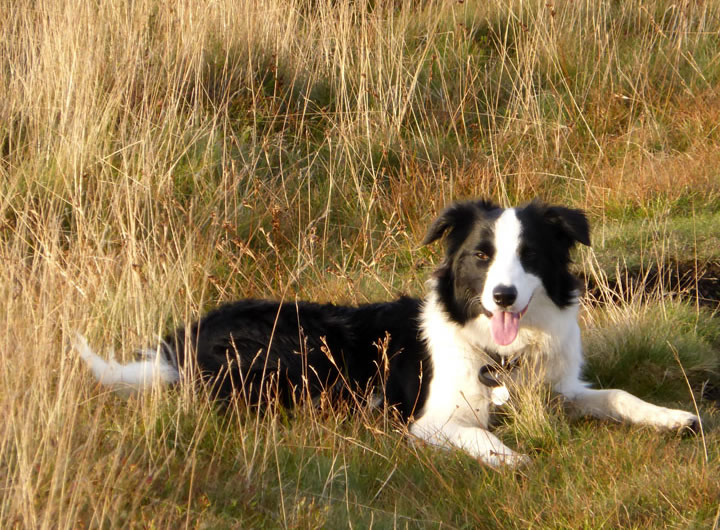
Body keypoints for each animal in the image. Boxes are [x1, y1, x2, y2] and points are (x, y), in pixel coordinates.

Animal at [77, 199, 696, 466]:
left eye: (530, 256)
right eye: (481, 256)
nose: (502, 296)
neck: (503, 352)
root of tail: (180, 345)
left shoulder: (557, 390)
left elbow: (616, 394)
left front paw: (670, 416)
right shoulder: (432, 419)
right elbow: (490, 442)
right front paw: (512, 458)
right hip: (299, 347)